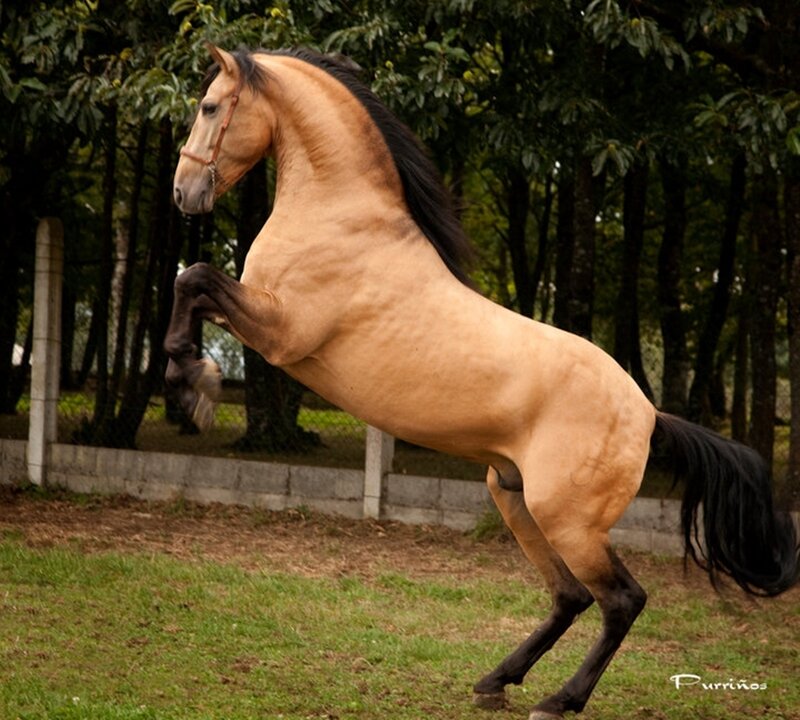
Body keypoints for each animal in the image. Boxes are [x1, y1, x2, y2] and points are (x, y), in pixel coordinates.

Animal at [166, 44, 799, 719]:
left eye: (209, 107)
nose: (183, 192)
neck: (342, 217)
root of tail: (651, 414)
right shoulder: (265, 322)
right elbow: (193, 285)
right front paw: (195, 384)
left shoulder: (282, 333)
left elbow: (193, 276)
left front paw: (193, 385)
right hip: (514, 497)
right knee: (570, 597)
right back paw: (497, 679)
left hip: (569, 520)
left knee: (621, 600)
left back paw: (558, 699)